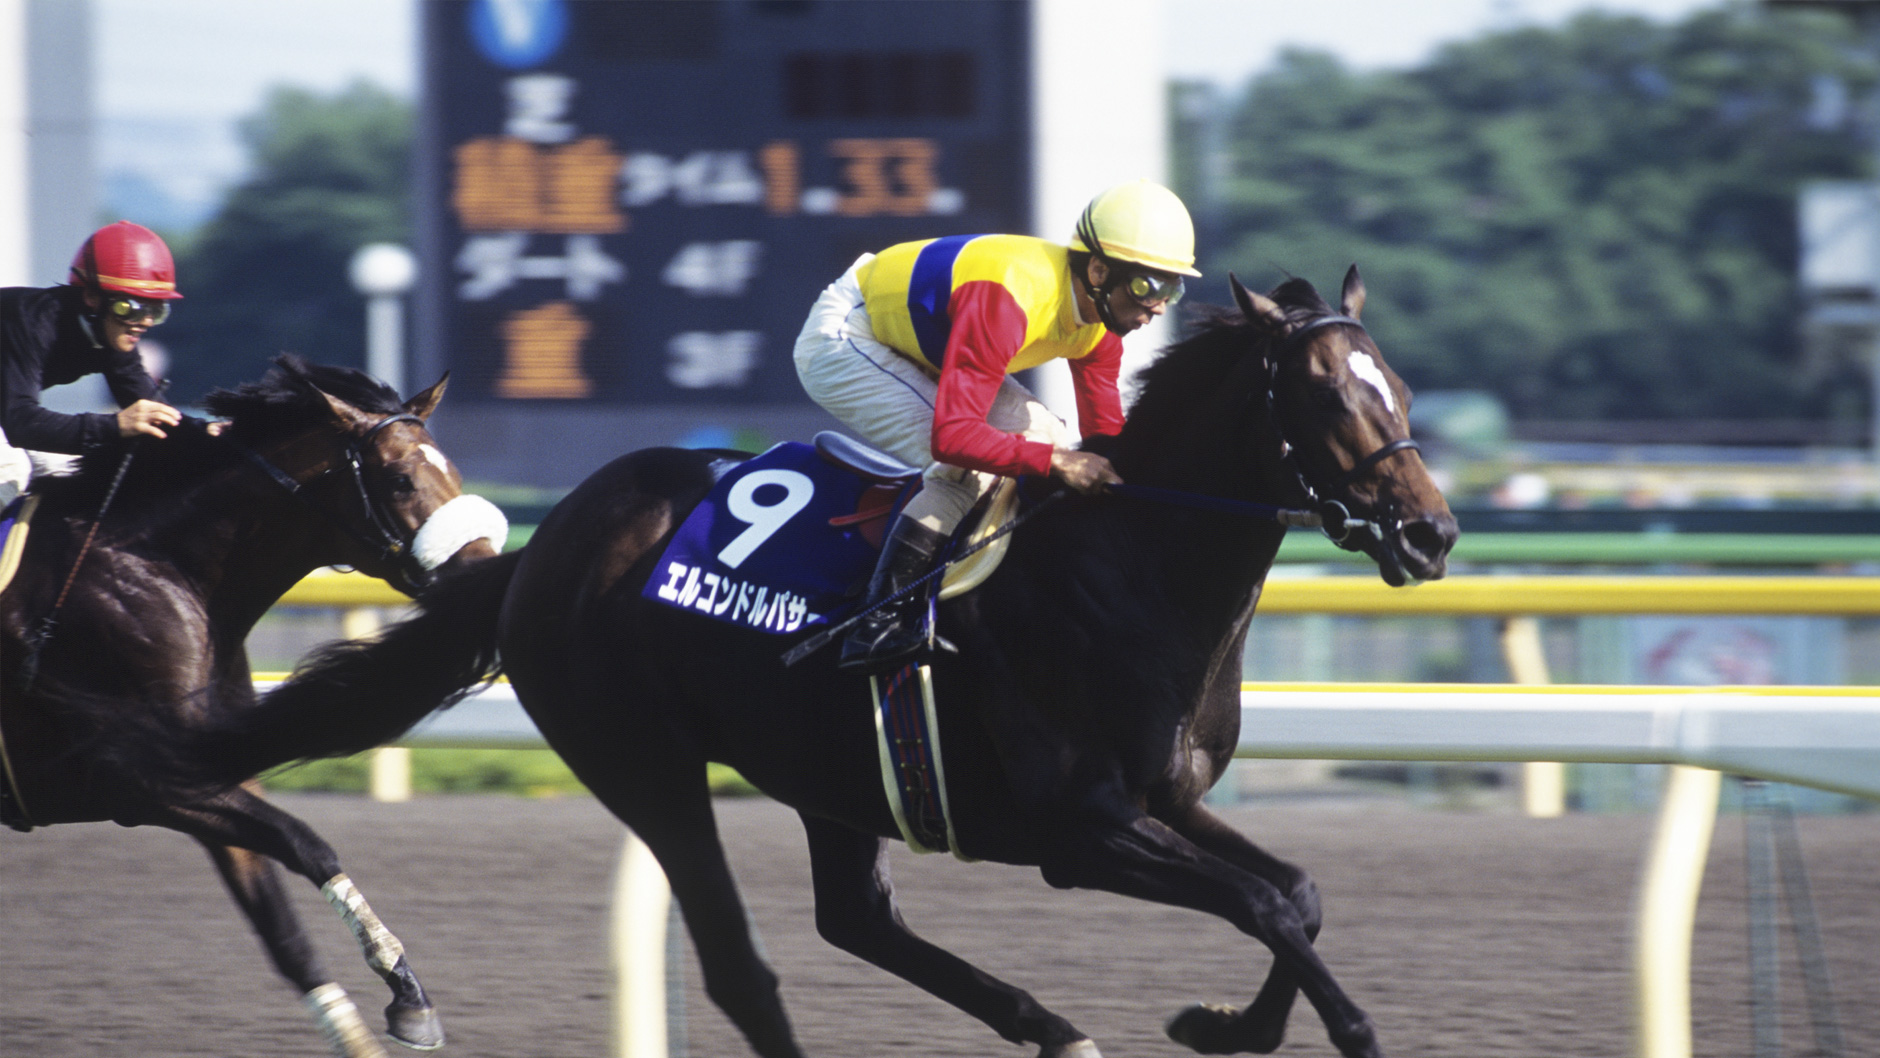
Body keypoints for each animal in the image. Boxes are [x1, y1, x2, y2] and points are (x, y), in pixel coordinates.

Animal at [0, 355, 507, 1058]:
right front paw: (404, 993)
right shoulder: (137, 779)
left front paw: (387, 1013)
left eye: (455, 473)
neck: (160, 569)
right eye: (401, 479)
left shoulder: (209, 774)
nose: (488, 577)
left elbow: (282, 930)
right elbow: (308, 844)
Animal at [156, 270, 1458, 1058]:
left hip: (833, 767)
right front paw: (1327, 1027)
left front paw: (1217, 1020)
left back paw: (1048, 1024)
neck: (1127, 565)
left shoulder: (1167, 799)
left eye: (1398, 385)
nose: (1431, 533)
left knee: (854, 917)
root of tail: (541, 548)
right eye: (1331, 396)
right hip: (646, 763)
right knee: (745, 963)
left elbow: (1294, 890)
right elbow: (1260, 901)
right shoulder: (1078, 831)